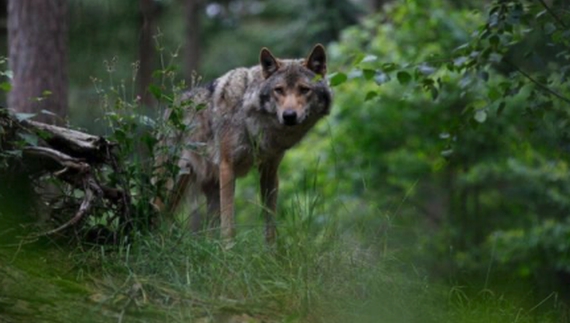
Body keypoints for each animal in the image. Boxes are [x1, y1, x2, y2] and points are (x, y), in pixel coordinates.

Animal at [155, 45, 330, 243]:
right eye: (279, 90)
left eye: (304, 89)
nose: (289, 116)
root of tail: (169, 108)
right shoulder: (227, 167)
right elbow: (229, 227)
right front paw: (228, 250)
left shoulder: (270, 171)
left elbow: (270, 225)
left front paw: (272, 251)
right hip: (170, 187)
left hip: (206, 192)